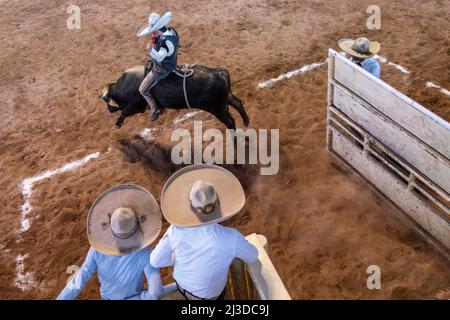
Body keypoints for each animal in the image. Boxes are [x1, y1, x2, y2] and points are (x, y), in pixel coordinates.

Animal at [102, 64, 250, 129]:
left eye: (108, 102)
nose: (109, 110)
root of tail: (219, 73)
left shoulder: (136, 105)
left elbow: (125, 112)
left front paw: (117, 123)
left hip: (216, 108)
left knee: (230, 121)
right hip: (226, 98)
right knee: (238, 103)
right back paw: (246, 122)